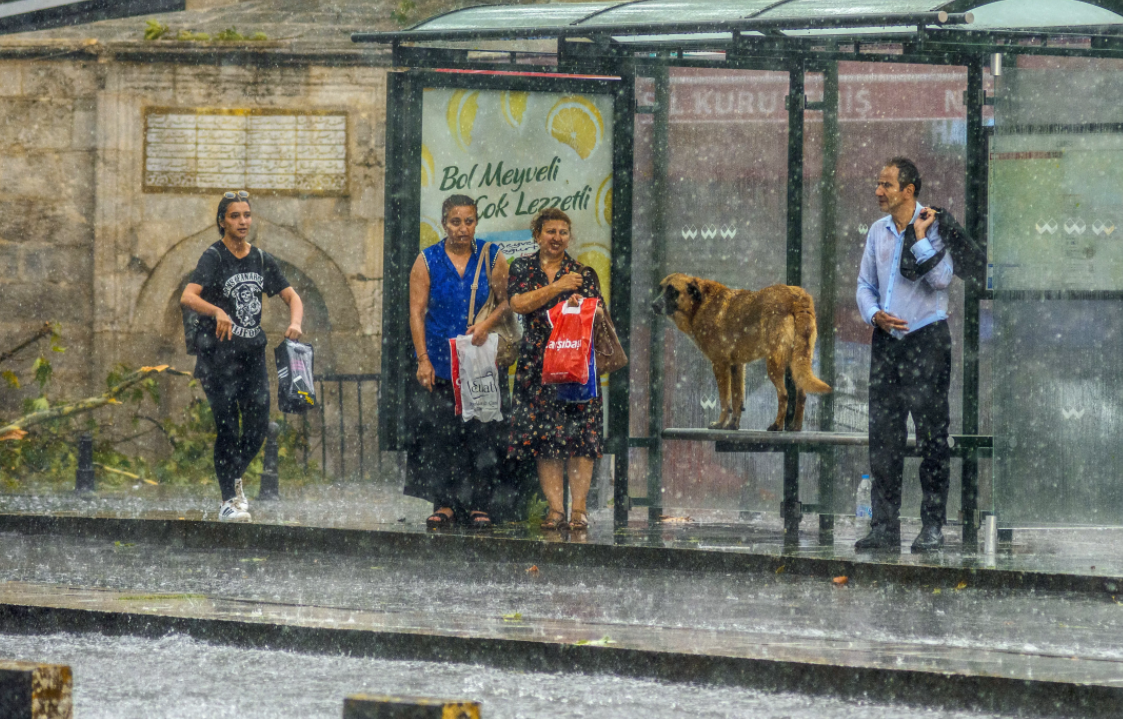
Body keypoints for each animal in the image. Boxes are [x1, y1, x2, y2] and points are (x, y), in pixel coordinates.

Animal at [655, 271, 831, 429]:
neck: (700, 305)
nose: (654, 305)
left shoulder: (720, 364)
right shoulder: (737, 366)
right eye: (660, 289)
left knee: (784, 394)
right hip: (794, 362)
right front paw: (733, 425)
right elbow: (737, 399)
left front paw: (720, 423)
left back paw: (777, 425)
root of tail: (796, 296)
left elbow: (725, 399)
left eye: (672, 291)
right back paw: (796, 427)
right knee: (802, 394)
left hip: (774, 364)